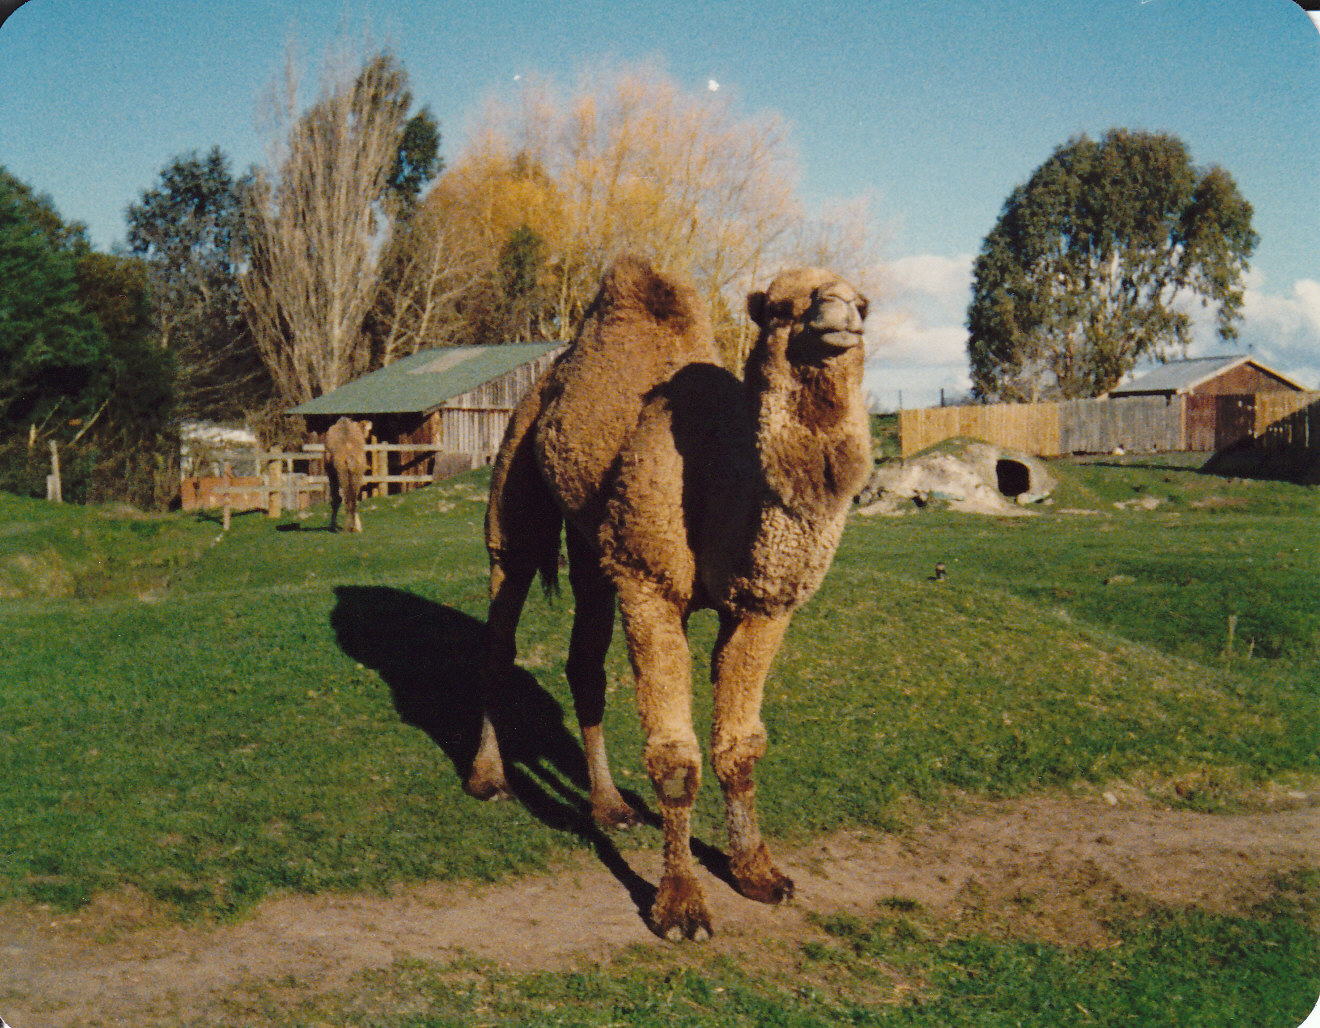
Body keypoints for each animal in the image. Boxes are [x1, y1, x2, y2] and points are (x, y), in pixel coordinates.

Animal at [467, 255, 871, 940]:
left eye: (864, 303)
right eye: (782, 307)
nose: (838, 313)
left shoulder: (764, 605)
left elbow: (742, 747)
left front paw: (758, 873)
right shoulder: (650, 583)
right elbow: (677, 760)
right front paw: (681, 904)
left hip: (594, 542)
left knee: (584, 663)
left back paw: (609, 808)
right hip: (514, 486)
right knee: (501, 624)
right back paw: (488, 779)